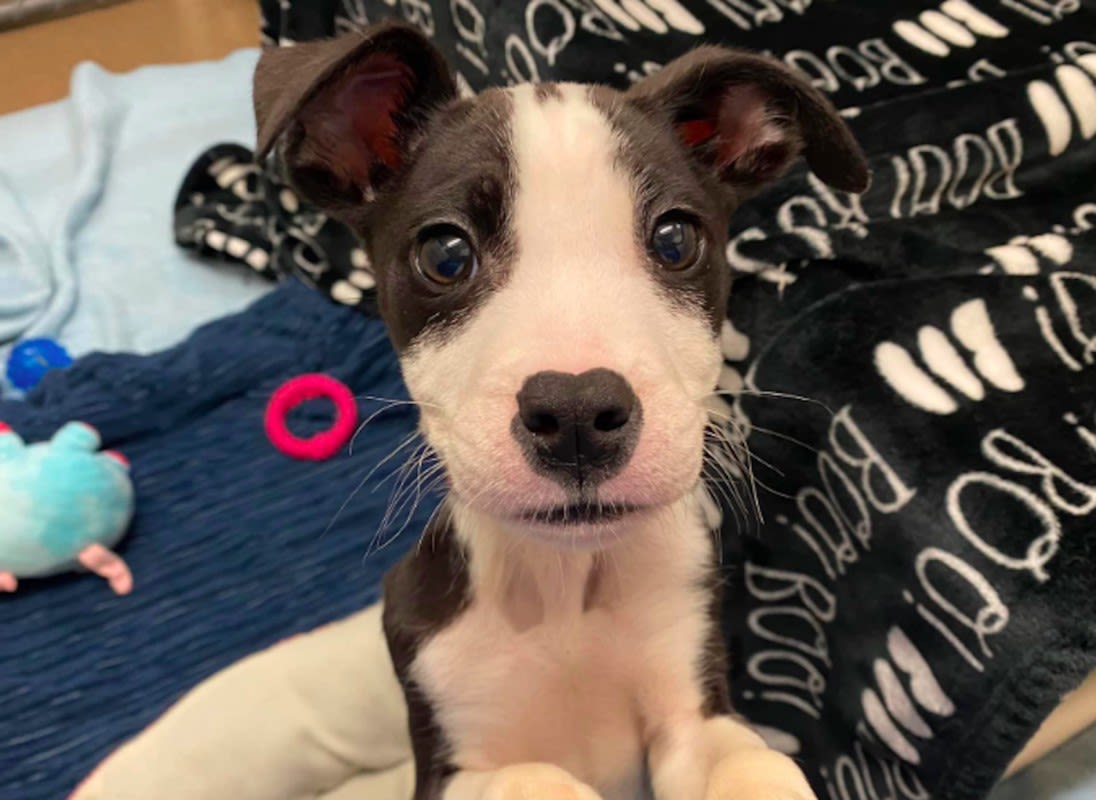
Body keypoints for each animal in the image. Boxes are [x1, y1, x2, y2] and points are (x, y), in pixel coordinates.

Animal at [252, 23, 868, 797]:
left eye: (675, 239)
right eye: (445, 253)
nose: (577, 413)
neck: (563, 591)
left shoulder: (690, 708)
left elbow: (749, 762)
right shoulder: (451, 761)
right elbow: (529, 776)